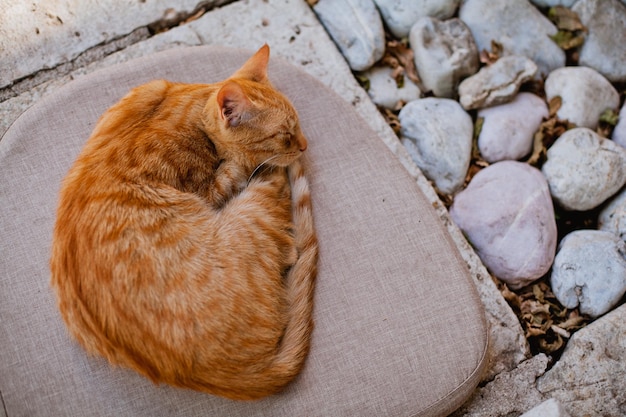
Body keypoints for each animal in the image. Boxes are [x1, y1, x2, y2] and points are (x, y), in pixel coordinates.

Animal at [48, 45, 316, 400]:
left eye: (298, 126)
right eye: (284, 135)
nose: (304, 146)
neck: (193, 114)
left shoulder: (146, 90)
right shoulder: (212, 187)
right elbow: (241, 166)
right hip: (253, 207)